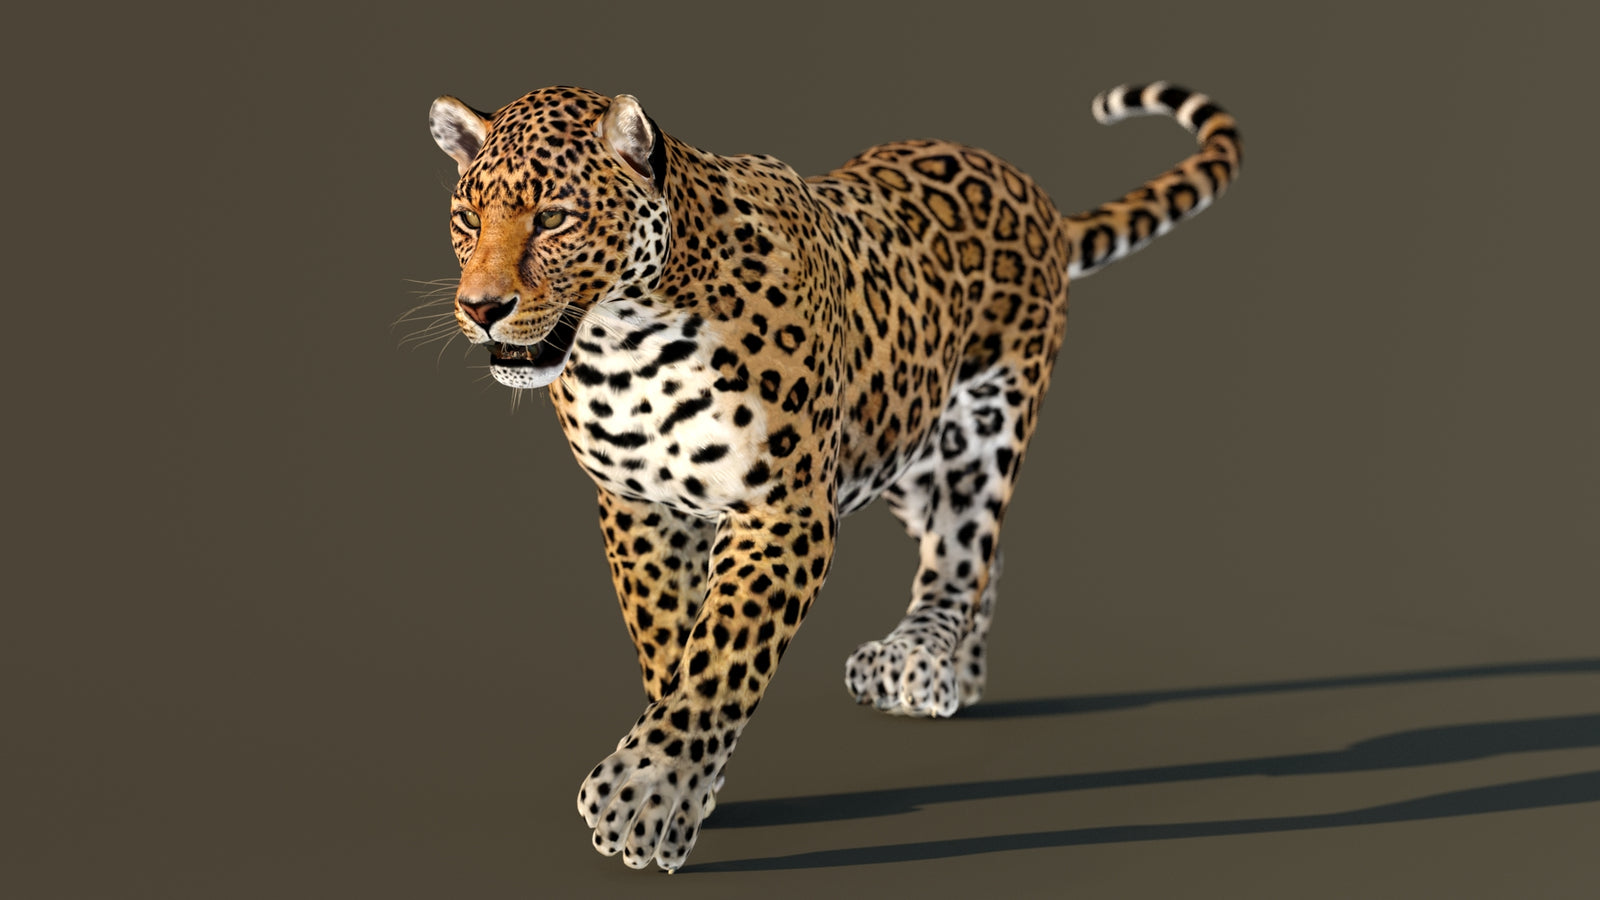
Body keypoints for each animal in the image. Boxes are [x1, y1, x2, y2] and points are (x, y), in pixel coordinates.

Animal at [424, 80, 1241, 872]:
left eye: (554, 217)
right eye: (466, 218)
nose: (481, 308)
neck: (625, 347)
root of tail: (1028, 188)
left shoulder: (784, 509)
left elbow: (722, 652)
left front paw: (649, 794)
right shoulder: (638, 505)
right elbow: (667, 641)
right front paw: (690, 780)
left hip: (985, 420)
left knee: (964, 546)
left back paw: (918, 658)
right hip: (899, 439)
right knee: (982, 548)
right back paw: (963, 669)